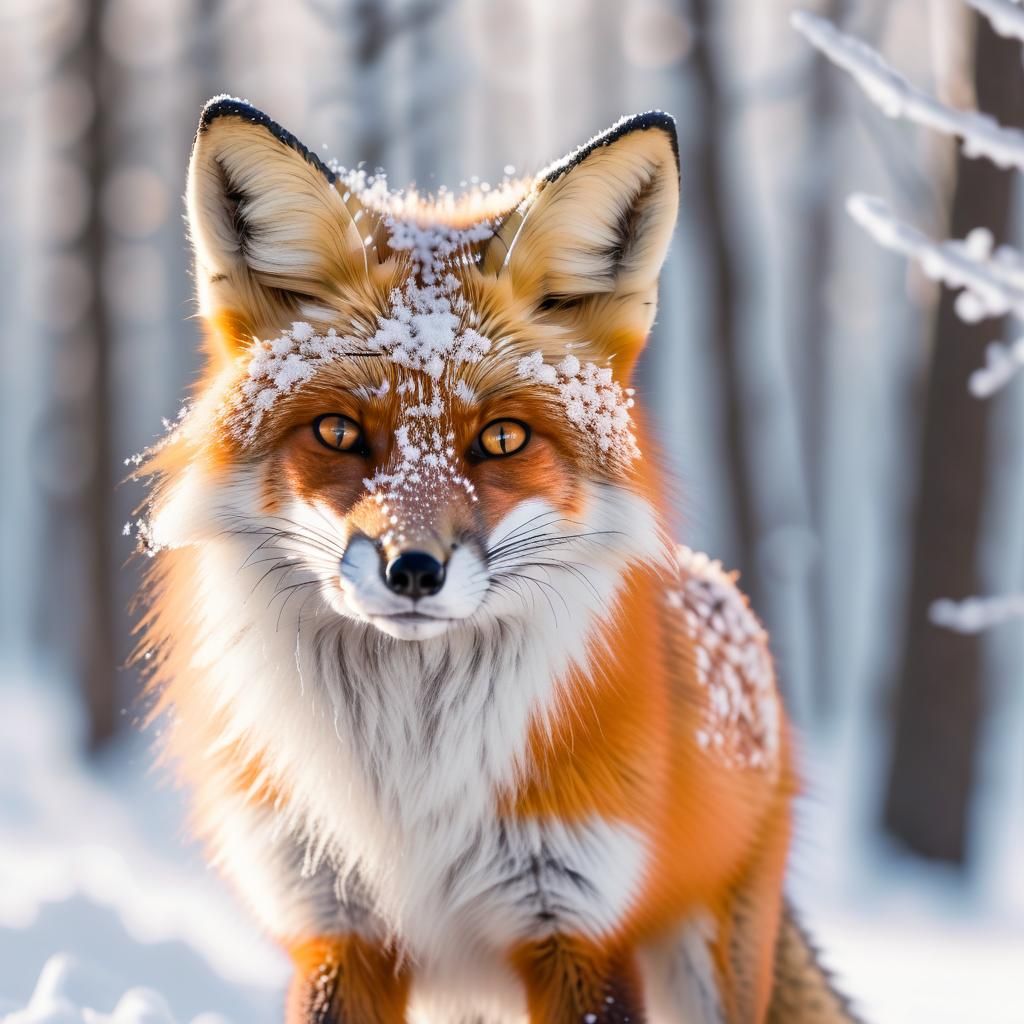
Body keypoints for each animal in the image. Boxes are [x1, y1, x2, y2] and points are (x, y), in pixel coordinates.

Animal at [133, 96, 860, 1023]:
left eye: (503, 439)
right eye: (338, 431)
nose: (413, 569)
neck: (411, 781)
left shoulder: (576, 924)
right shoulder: (335, 925)